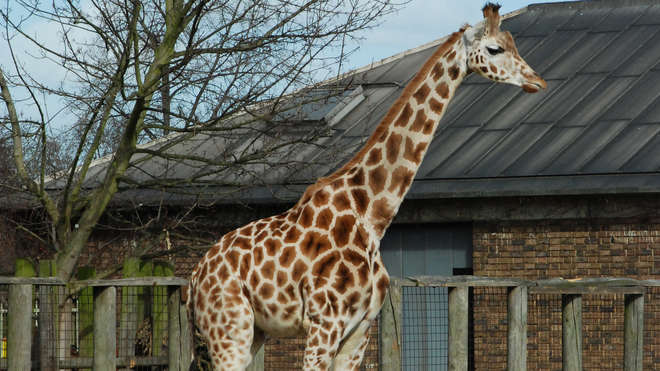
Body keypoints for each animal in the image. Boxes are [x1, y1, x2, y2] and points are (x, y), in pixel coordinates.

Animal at [187, 3, 548, 371]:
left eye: (513, 43)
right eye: (494, 48)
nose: (538, 81)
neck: (371, 214)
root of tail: (195, 277)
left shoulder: (359, 330)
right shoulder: (324, 323)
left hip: (246, 334)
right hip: (230, 331)